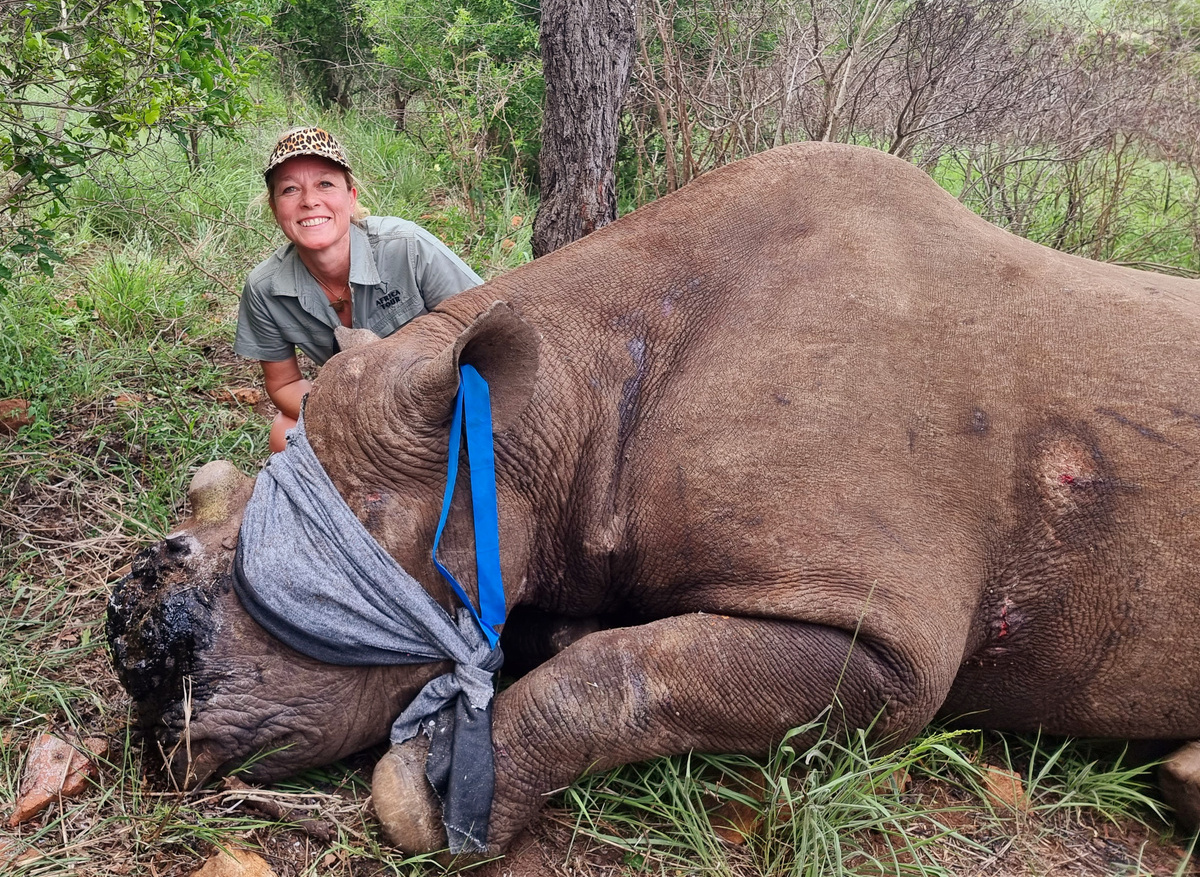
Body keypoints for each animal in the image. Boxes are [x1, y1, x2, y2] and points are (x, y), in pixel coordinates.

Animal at [107, 142, 1200, 854]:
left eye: (364, 533)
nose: (145, 671)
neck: (554, 404)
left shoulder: (892, 642)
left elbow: (629, 669)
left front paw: (436, 788)